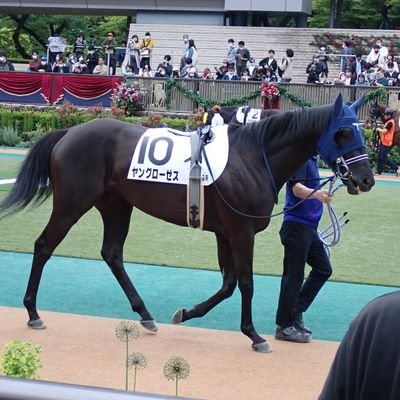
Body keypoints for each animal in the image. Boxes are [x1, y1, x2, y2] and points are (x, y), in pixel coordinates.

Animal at [0, 93, 376, 350]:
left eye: (360, 132)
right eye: (344, 132)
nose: (366, 179)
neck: (253, 157)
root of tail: (68, 133)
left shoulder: (225, 233)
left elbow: (228, 284)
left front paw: (187, 313)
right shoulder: (241, 232)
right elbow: (246, 283)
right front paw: (255, 335)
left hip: (116, 205)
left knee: (112, 253)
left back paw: (145, 314)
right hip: (72, 203)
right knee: (44, 246)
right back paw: (33, 313)